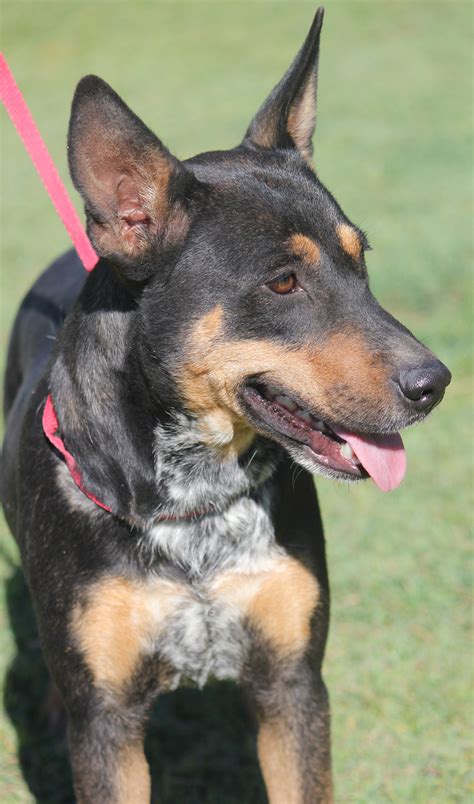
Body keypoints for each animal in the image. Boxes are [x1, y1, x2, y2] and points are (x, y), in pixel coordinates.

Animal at [0, 7, 452, 804]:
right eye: (282, 283)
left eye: (361, 260)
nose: (435, 383)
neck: (198, 496)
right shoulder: (107, 722)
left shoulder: (293, 683)